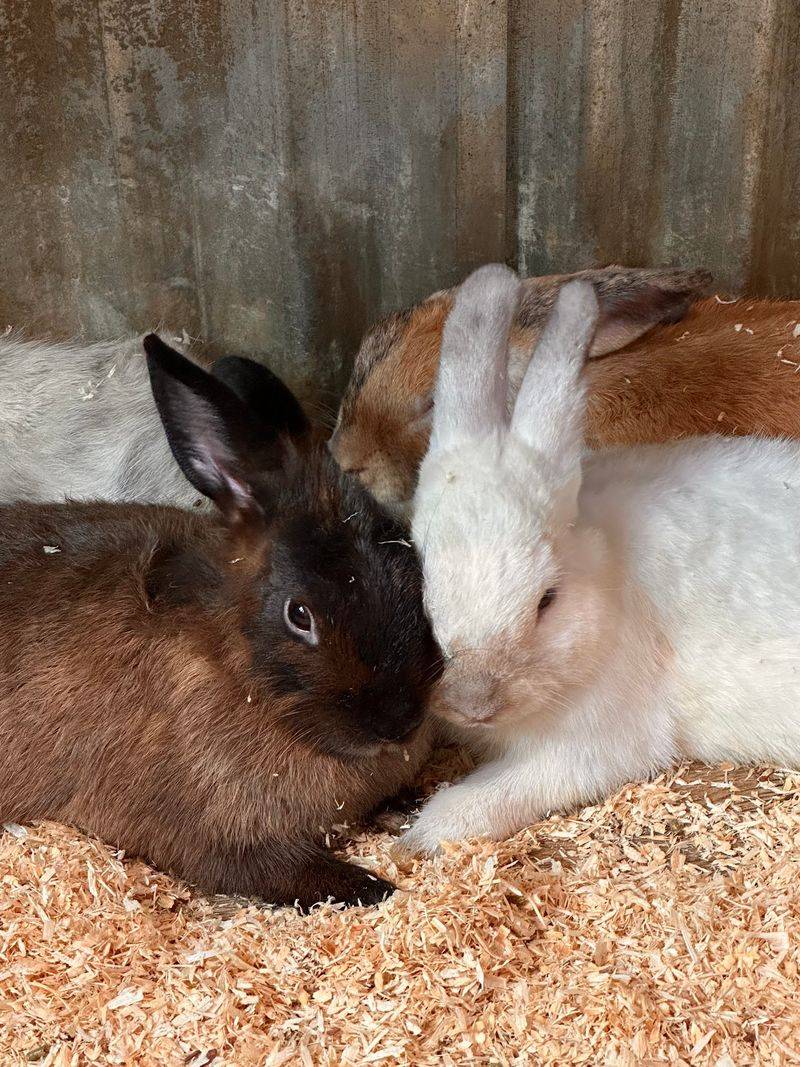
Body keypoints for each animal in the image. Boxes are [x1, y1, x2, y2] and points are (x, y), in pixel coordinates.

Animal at [0, 334, 440, 908]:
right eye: (299, 615)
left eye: (413, 569)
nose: (398, 722)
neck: (232, 664)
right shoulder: (214, 839)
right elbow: (284, 872)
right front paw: (375, 887)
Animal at [396, 264, 800, 858]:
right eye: (421, 577)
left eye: (547, 600)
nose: (473, 702)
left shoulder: (596, 739)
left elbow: (509, 788)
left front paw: (425, 833)